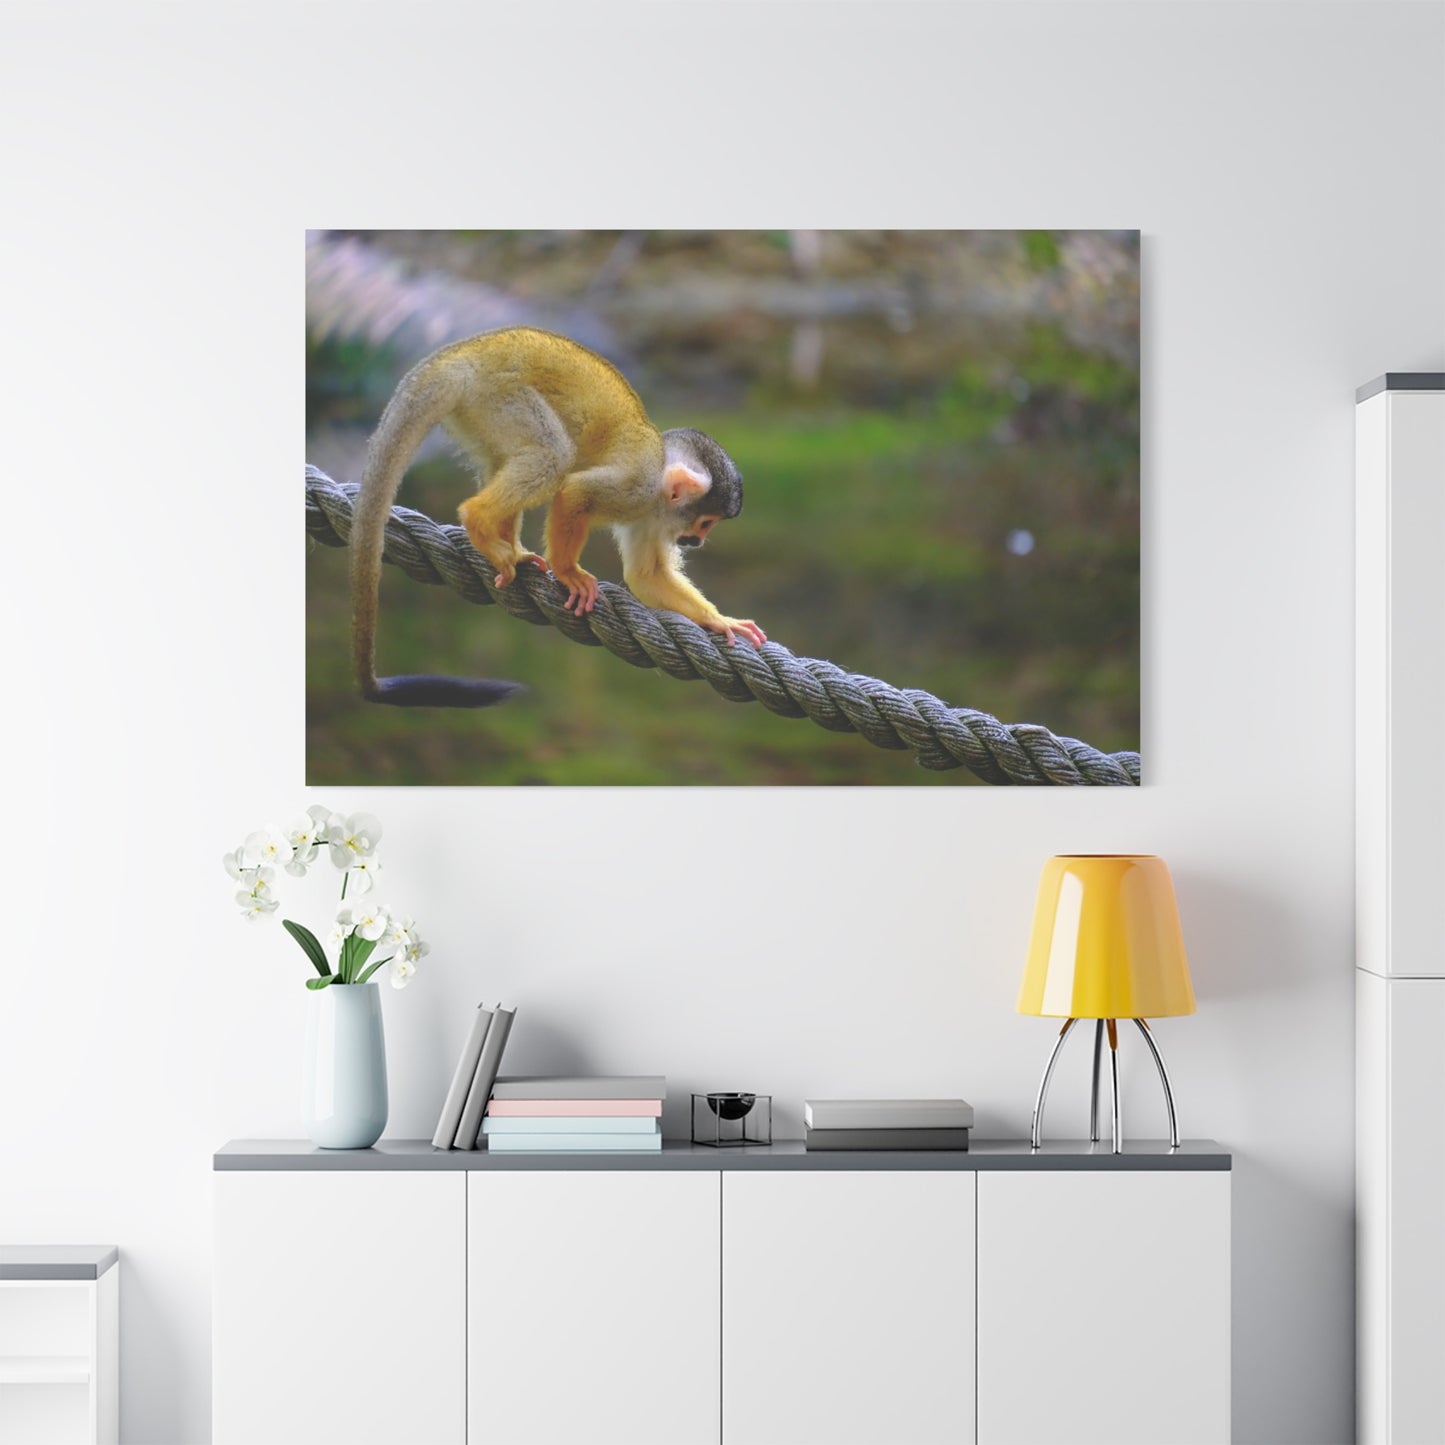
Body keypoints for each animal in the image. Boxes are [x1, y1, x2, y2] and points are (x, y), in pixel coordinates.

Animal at [349, 326, 766, 707]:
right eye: (705, 522)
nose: (697, 540)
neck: (659, 483)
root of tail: (460, 354)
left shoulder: (651, 515)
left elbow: (646, 575)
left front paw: (718, 620)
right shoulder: (637, 486)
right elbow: (574, 493)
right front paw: (568, 573)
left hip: (480, 411)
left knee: (509, 457)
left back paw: (508, 547)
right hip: (500, 395)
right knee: (553, 457)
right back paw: (479, 521)